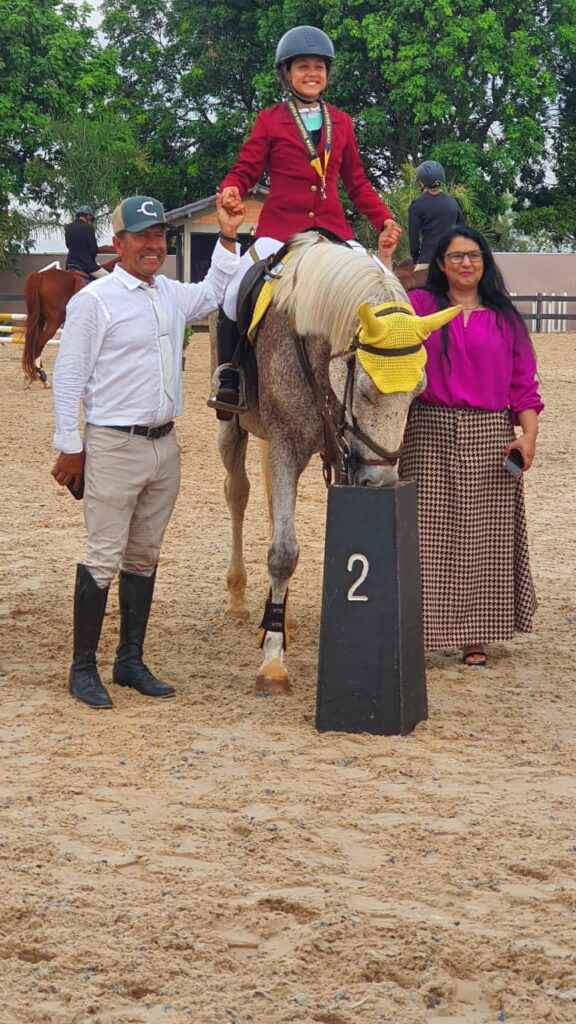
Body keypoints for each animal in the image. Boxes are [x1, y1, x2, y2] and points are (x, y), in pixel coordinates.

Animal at [212, 234, 457, 696]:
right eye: (363, 389)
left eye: (418, 392)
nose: (381, 482)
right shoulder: (286, 444)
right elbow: (283, 552)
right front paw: (273, 664)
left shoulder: (342, 460)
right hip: (232, 427)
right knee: (237, 496)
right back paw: (238, 596)